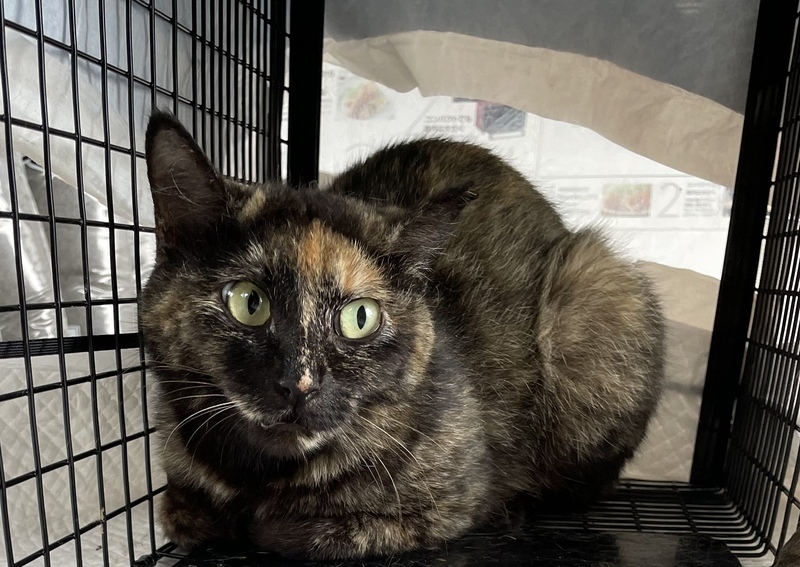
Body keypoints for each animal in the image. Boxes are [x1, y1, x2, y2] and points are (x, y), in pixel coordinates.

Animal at [140, 110, 664, 560]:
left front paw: (263, 525)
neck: (262, 478)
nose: (299, 384)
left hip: (595, 284)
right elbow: (179, 511)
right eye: (249, 302)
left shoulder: (447, 507)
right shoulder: (177, 472)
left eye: (360, 317)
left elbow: (301, 533)